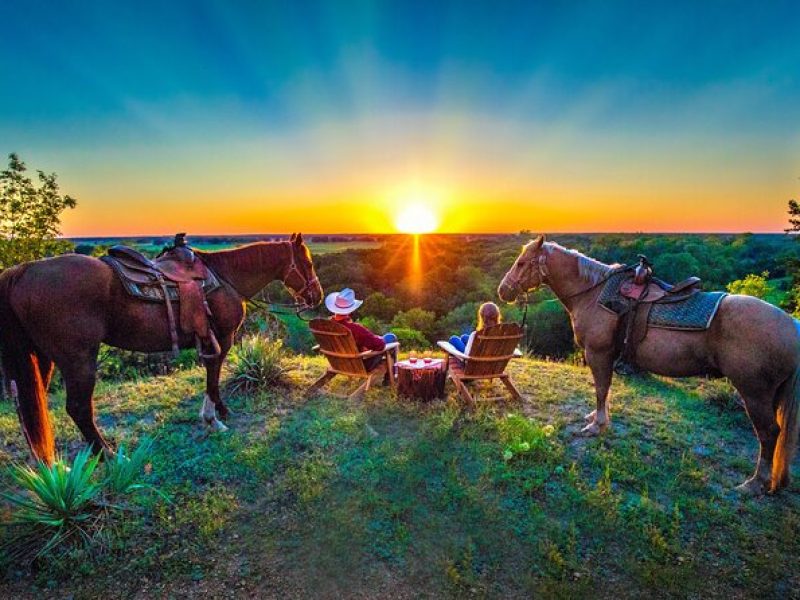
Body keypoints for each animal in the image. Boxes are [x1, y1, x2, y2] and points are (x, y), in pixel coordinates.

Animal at [0, 233, 322, 464]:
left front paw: (218, 412)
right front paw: (214, 418)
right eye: (307, 263)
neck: (225, 277)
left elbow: (212, 376)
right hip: (78, 359)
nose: (317, 296)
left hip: (42, 359)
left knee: (33, 410)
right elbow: (214, 377)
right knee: (78, 408)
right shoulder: (223, 338)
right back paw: (108, 455)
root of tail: (22, 271)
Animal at [500, 237, 800, 494]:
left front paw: (597, 425)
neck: (594, 294)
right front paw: (597, 418)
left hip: (754, 392)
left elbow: (600, 389)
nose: (503, 290)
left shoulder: (598, 354)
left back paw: (754, 483)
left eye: (522, 262)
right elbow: (604, 389)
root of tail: (791, 326)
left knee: (768, 433)